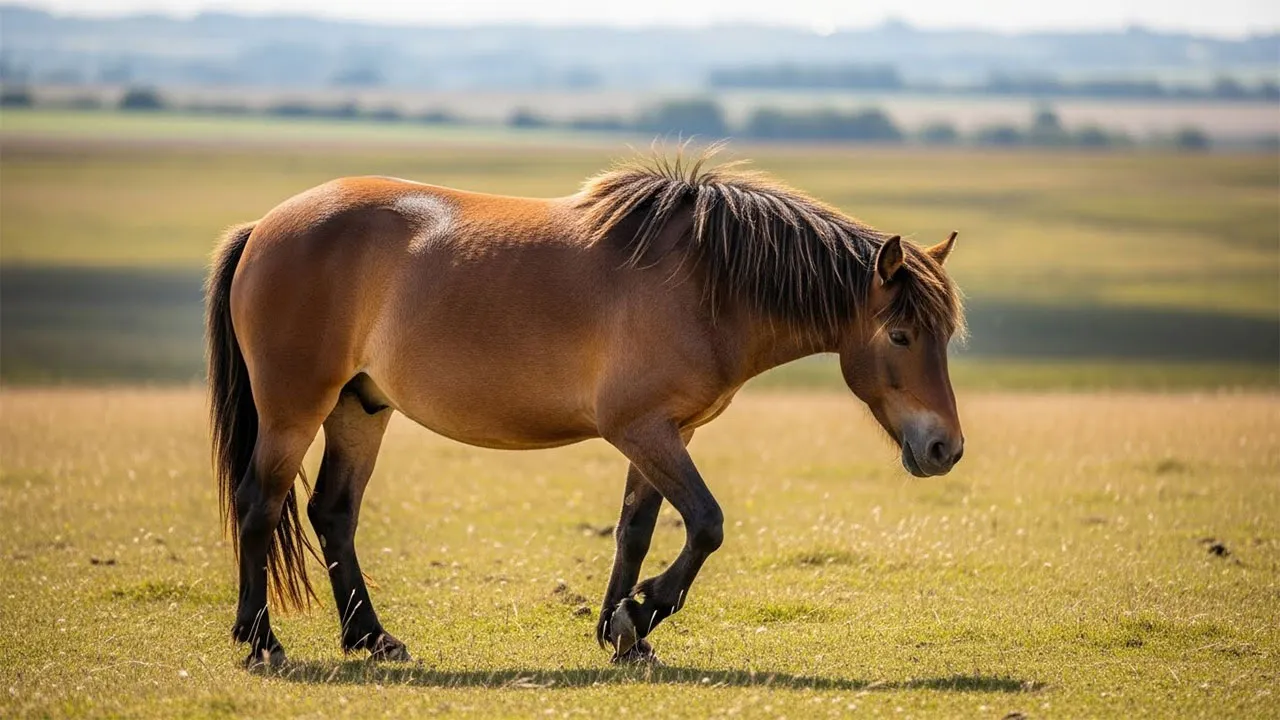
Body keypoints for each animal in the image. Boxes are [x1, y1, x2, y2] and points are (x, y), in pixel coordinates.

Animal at [205, 149, 966, 668]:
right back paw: (261, 639)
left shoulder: (665, 433)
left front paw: (623, 630)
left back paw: (372, 637)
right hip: (294, 411)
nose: (945, 449)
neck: (704, 283)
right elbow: (707, 523)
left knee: (333, 512)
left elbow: (637, 530)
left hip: (360, 408)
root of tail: (264, 226)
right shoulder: (642, 429)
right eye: (900, 335)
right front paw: (645, 611)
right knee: (258, 504)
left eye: (944, 335)